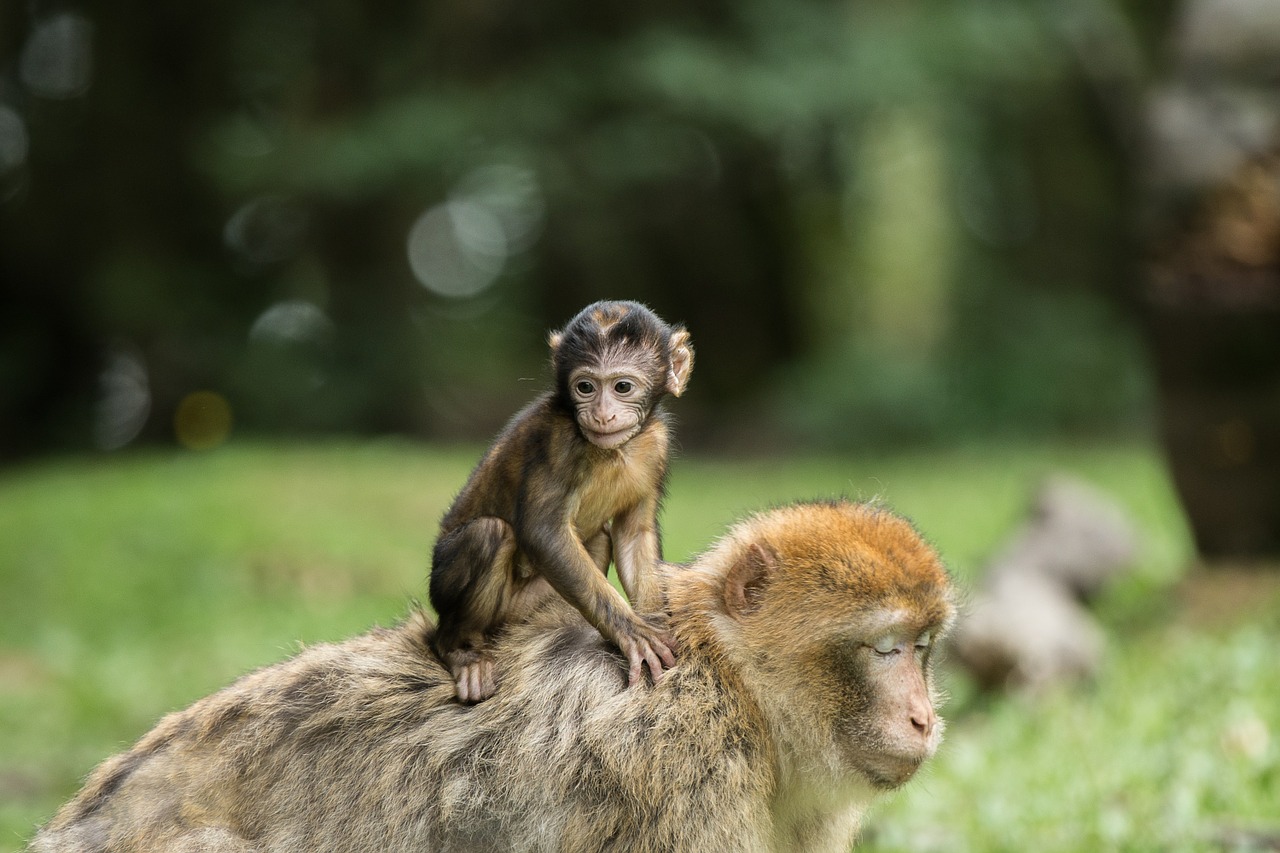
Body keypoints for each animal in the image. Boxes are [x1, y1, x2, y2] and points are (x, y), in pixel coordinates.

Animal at [430, 297, 696, 696]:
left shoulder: (656, 446)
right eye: (585, 387)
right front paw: (632, 634)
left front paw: (655, 622)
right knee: (489, 533)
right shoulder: (557, 441)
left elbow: (634, 534)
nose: (602, 415)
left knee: (599, 538)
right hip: (448, 588)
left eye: (622, 387)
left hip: (521, 610)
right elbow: (544, 532)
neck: (613, 451)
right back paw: (458, 649)